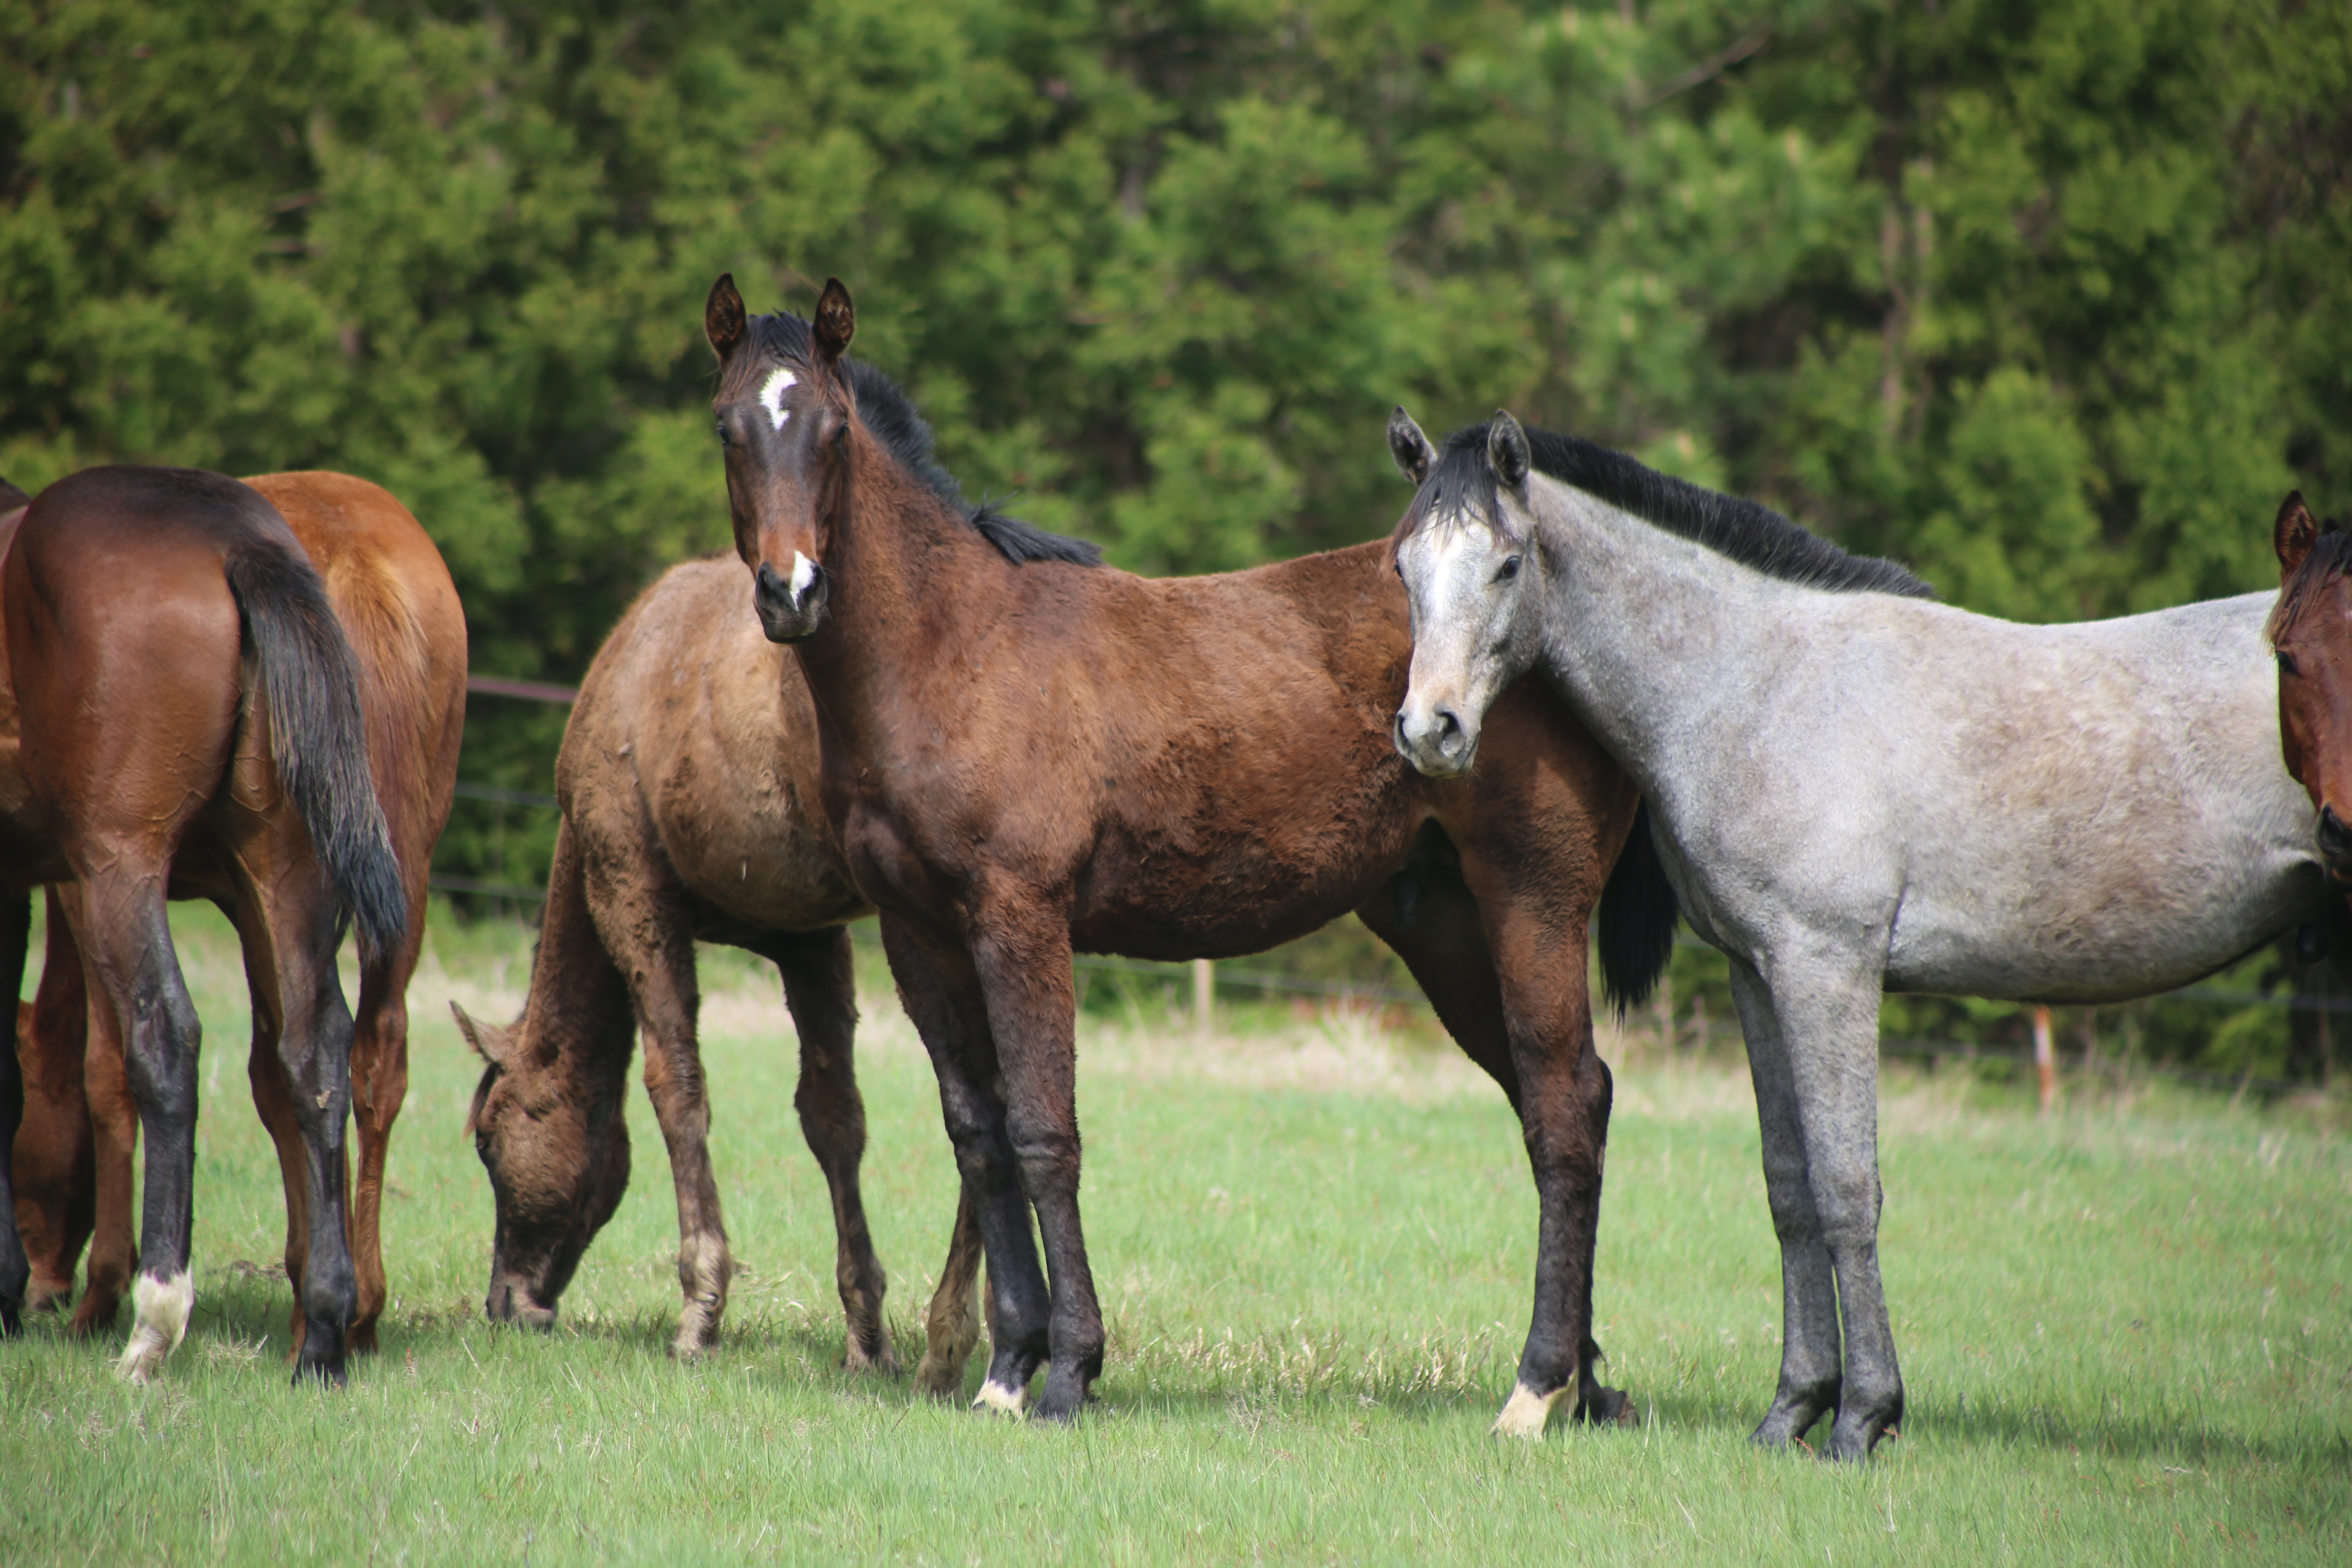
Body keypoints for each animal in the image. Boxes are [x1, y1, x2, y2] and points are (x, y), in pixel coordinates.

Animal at [0, 465, 454, 1382]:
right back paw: (337, 1322)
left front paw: (91, 1293)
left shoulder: (77, 882)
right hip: (328, 876)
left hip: (129, 867)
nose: (46, 1289)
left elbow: (98, 1072)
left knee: (172, 1041)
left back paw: (159, 1321)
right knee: (346, 1060)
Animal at [449, 555, 973, 1382]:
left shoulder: (634, 889)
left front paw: (701, 1311)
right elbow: (834, 1115)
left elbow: (678, 1088)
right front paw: (866, 1331)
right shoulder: (807, 934)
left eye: (488, 1141)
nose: (508, 1302)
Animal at [696, 276, 1675, 1429]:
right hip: (1444, 928)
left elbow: (1043, 1131)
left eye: (834, 430)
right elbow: (977, 1134)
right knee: (1570, 1097)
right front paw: (1007, 1366)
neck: (949, 653)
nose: (790, 592)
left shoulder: (1020, 917)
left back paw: (1537, 1384)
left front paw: (1067, 1370)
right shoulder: (918, 932)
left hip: (1534, 897)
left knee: (1562, 1111)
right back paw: (1584, 1382)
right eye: (728, 425)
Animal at [1383, 409, 2323, 1457]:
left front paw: (1862, 1418)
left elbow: (1845, 1185)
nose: (1429, 731)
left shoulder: (1825, 966)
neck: (1758, 683)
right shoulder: (1757, 973)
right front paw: (1791, 1409)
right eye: (1403, 566)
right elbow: (1788, 1187)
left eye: (1507, 564)